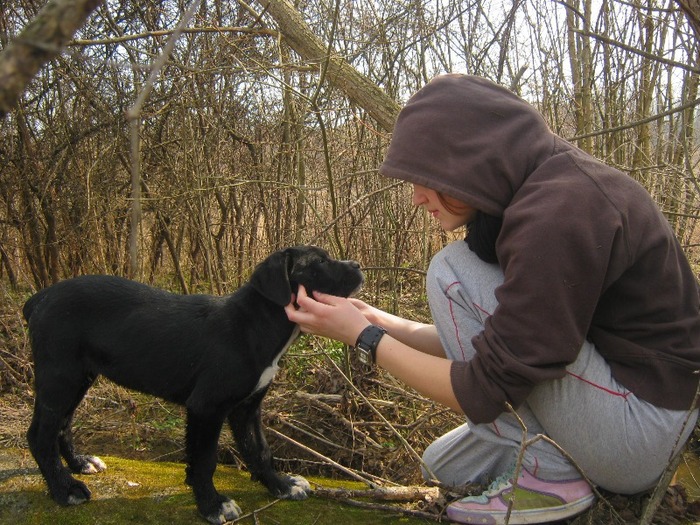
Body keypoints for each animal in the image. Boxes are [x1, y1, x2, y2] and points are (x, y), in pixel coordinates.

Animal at [24, 247, 364, 524]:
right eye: (320, 262)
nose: (359, 265)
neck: (257, 324)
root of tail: (38, 299)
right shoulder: (206, 407)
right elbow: (204, 461)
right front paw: (212, 505)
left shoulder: (247, 408)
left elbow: (259, 450)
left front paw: (281, 485)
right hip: (60, 376)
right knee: (40, 434)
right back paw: (64, 488)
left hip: (79, 377)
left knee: (62, 425)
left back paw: (80, 463)